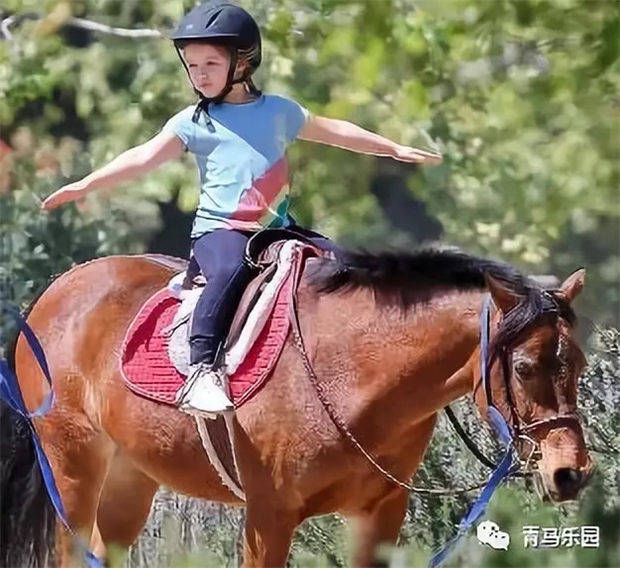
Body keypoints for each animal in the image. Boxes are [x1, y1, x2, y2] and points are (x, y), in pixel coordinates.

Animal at [1, 248, 592, 568]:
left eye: (581, 365)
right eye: (524, 368)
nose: (571, 473)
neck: (351, 370)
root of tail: (59, 289)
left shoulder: (379, 515)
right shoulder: (270, 517)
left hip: (130, 477)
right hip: (74, 468)